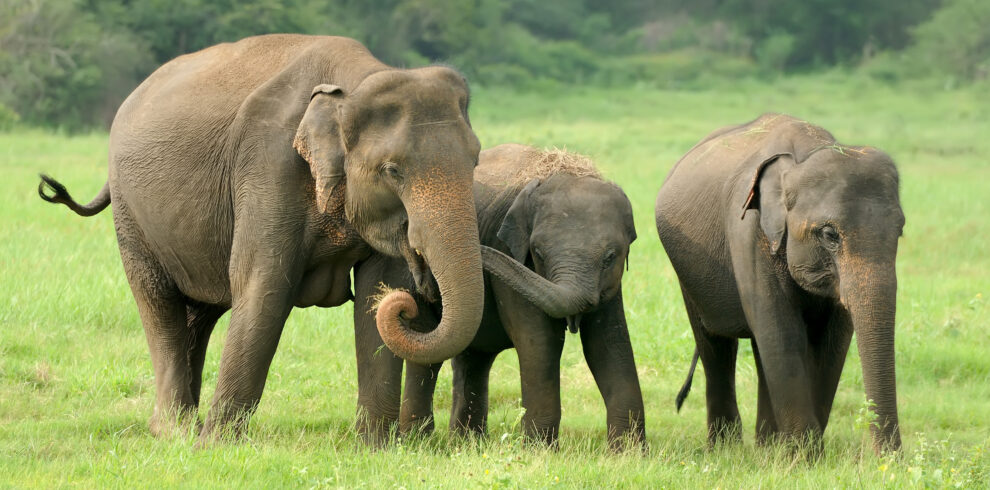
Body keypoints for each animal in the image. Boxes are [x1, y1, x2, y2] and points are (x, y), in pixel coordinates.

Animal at [37, 34, 485, 444]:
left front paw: (373, 447)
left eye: (475, 159)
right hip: (132, 217)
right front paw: (215, 446)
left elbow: (379, 289)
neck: (357, 78)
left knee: (198, 315)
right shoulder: (267, 164)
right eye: (392, 171)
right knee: (159, 305)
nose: (420, 297)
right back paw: (176, 432)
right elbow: (263, 286)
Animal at [353, 144, 646, 449]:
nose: (419, 251)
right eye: (538, 253)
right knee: (428, 353)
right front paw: (540, 451)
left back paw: (468, 443)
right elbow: (540, 342)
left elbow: (608, 343)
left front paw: (629, 453)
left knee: (473, 357)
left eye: (610, 257)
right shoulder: (512, 259)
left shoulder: (611, 286)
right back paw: (419, 441)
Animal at [655, 114, 904, 454]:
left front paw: (798, 453)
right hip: (689, 275)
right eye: (830, 234)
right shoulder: (749, 234)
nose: (892, 460)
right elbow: (782, 334)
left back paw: (766, 447)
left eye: (900, 231)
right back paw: (727, 450)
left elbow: (832, 344)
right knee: (715, 343)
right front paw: (804, 457)